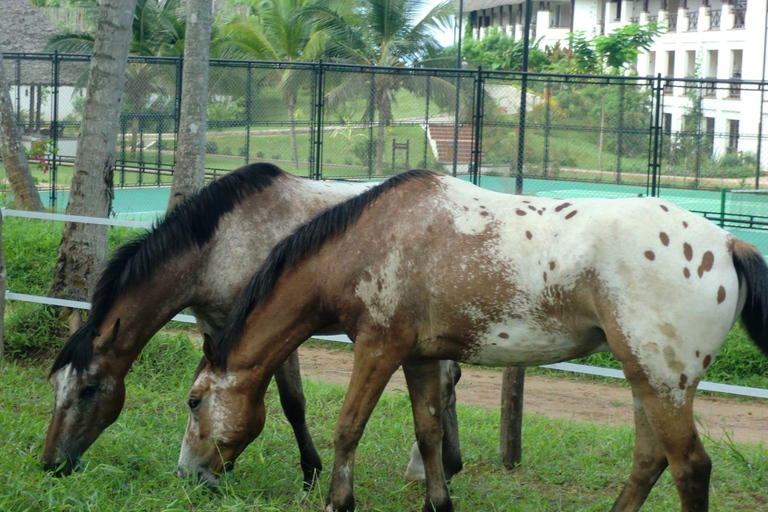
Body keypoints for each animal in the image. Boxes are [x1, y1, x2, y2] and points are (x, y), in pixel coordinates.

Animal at [40, 164, 462, 488]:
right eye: (55, 387)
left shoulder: (278, 331)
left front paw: (310, 473)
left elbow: (293, 404)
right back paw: (442, 464)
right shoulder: (218, 331)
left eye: (88, 389)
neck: (219, 246)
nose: (51, 464)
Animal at [178, 169, 768, 512]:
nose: (189, 475)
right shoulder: (418, 359)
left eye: (194, 401)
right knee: (649, 462)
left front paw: (338, 502)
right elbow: (428, 433)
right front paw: (438, 503)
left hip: (663, 382)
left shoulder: (377, 349)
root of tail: (727, 242)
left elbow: (348, 429)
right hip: (645, 379)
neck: (365, 242)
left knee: (689, 468)